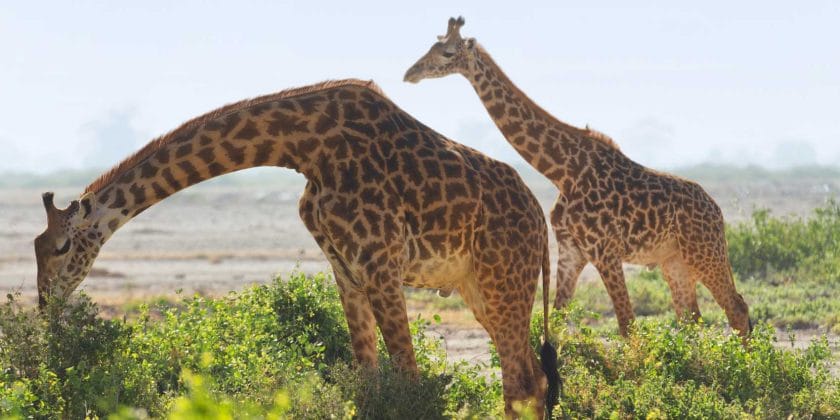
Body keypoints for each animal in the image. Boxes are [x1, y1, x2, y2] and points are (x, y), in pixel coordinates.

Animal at [31, 80, 556, 418]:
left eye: (61, 246)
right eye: (36, 247)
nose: (43, 304)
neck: (305, 148)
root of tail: (539, 219)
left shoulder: (381, 265)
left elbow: (409, 380)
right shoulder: (347, 269)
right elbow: (367, 384)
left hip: (504, 279)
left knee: (522, 381)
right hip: (478, 288)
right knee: (530, 378)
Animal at [404, 18, 752, 338]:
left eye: (448, 52)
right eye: (432, 46)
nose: (411, 73)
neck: (562, 171)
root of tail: (717, 211)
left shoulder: (604, 250)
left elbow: (627, 325)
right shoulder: (572, 249)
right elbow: (557, 320)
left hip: (703, 252)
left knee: (736, 308)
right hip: (673, 260)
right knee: (691, 318)